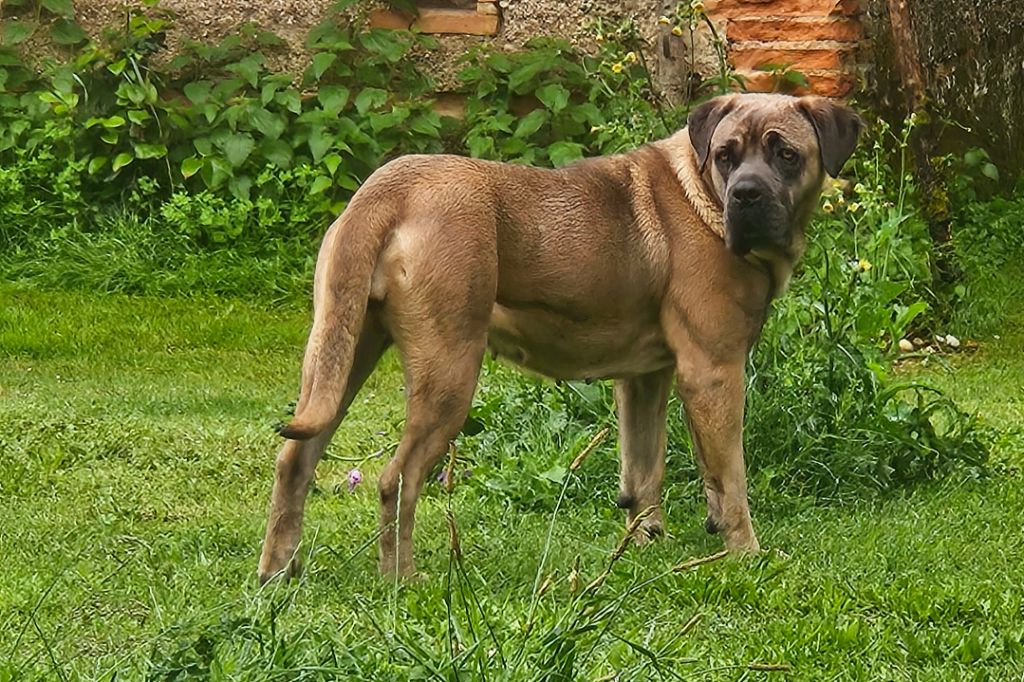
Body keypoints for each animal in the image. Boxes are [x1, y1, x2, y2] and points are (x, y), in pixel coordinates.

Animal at [253, 91, 856, 577]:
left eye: (785, 154)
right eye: (727, 156)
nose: (746, 195)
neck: (701, 191)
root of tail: (388, 188)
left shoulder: (646, 379)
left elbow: (644, 470)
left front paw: (645, 546)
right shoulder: (714, 372)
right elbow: (730, 479)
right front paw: (746, 554)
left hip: (341, 353)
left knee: (295, 461)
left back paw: (279, 573)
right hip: (448, 373)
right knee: (396, 479)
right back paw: (403, 581)